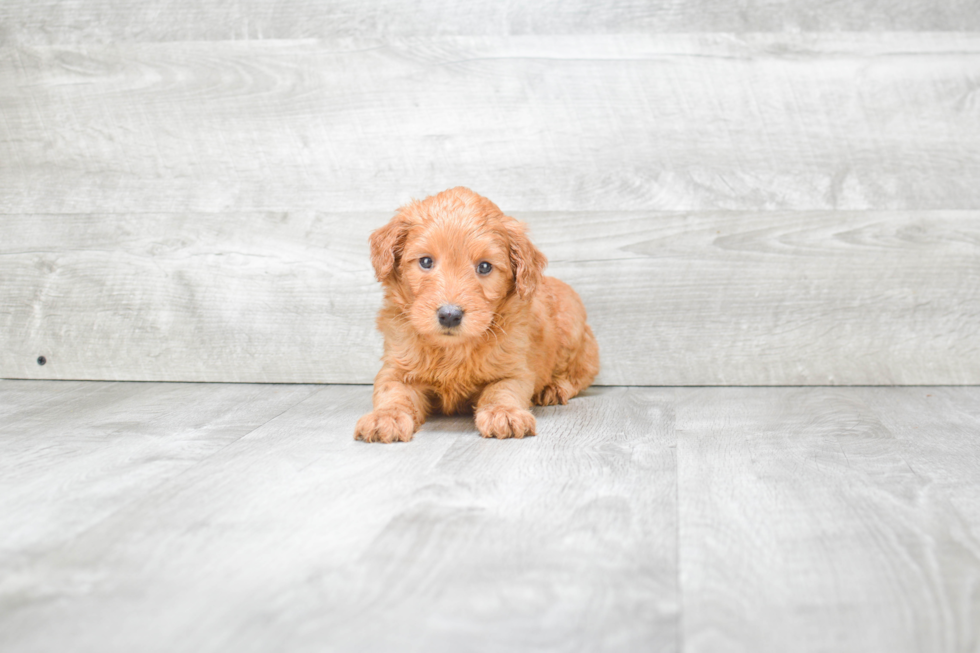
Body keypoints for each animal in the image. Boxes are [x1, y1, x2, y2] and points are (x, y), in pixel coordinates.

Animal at [352, 188, 596, 444]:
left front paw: (503, 413)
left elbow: (501, 390)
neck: (452, 350)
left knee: (579, 375)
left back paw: (554, 388)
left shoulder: (514, 371)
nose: (450, 315)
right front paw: (385, 417)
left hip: (573, 333)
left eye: (485, 267)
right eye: (426, 261)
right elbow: (393, 393)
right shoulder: (396, 368)